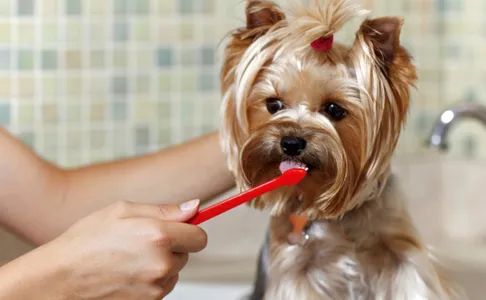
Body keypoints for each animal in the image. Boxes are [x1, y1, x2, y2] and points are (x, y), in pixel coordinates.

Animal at [218, 0, 466, 298]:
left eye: (334, 109)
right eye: (273, 104)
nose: (291, 142)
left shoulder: (402, 251)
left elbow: (414, 282)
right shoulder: (294, 268)